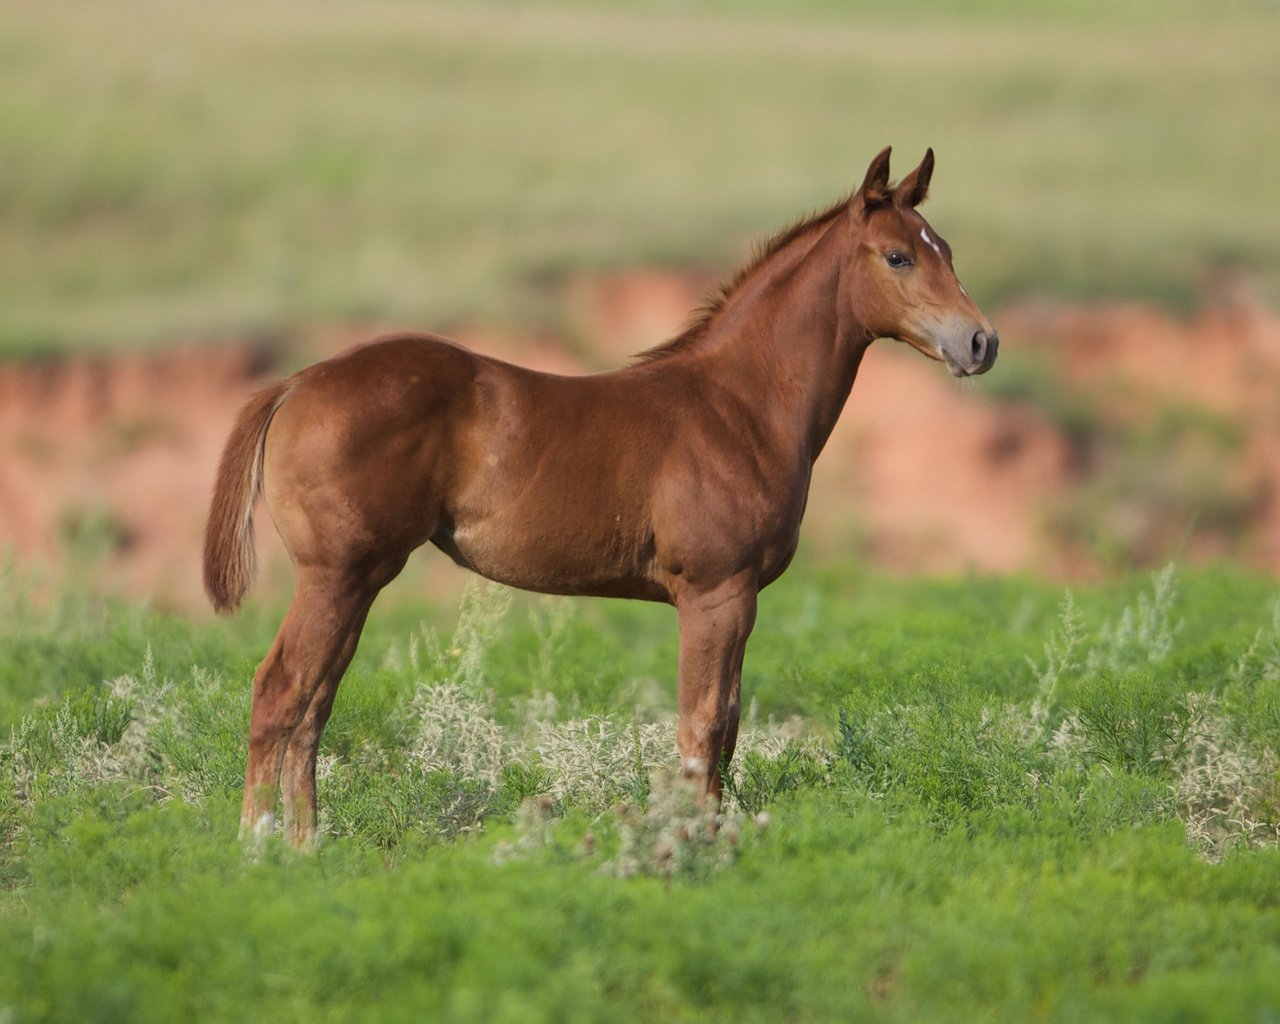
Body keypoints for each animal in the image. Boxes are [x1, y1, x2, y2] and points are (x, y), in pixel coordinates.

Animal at [202, 145, 998, 849]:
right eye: (898, 256)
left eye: (947, 250)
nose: (981, 342)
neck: (738, 406)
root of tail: (296, 384)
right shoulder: (716, 592)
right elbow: (704, 726)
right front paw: (692, 845)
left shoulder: (735, 598)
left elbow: (727, 726)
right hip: (336, 574)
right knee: (279, 692)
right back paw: (257, 849)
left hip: (359, 578)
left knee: (315, 703)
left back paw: (309, 849)